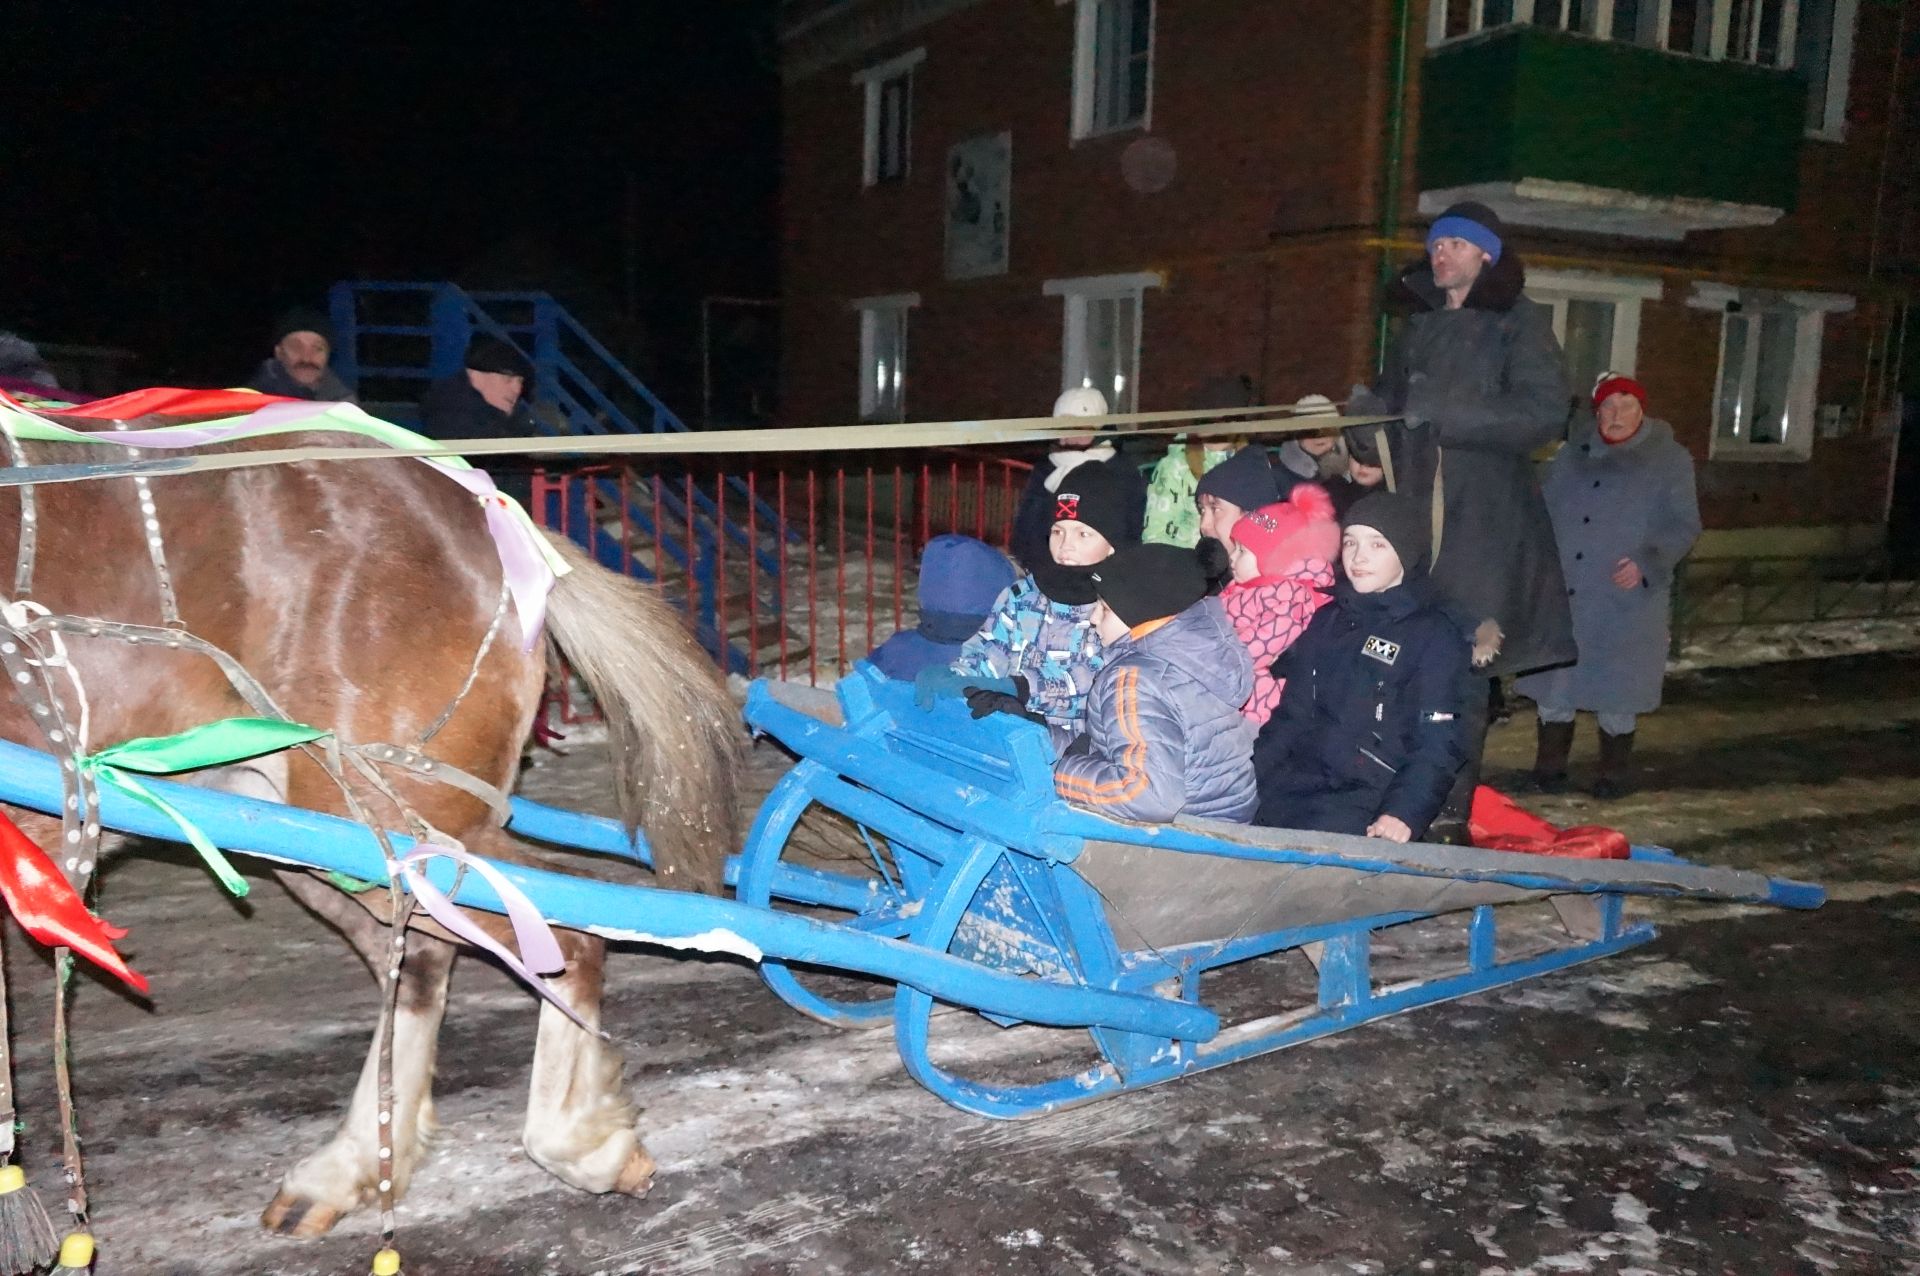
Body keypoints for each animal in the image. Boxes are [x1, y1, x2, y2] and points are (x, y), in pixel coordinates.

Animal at [0, 418, 741, 1235]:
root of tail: (480, 505)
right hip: (320, 833)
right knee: (421, 960)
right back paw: (355, 1162)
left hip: (389, 815)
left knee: (567, 936)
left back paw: (576, 1141)